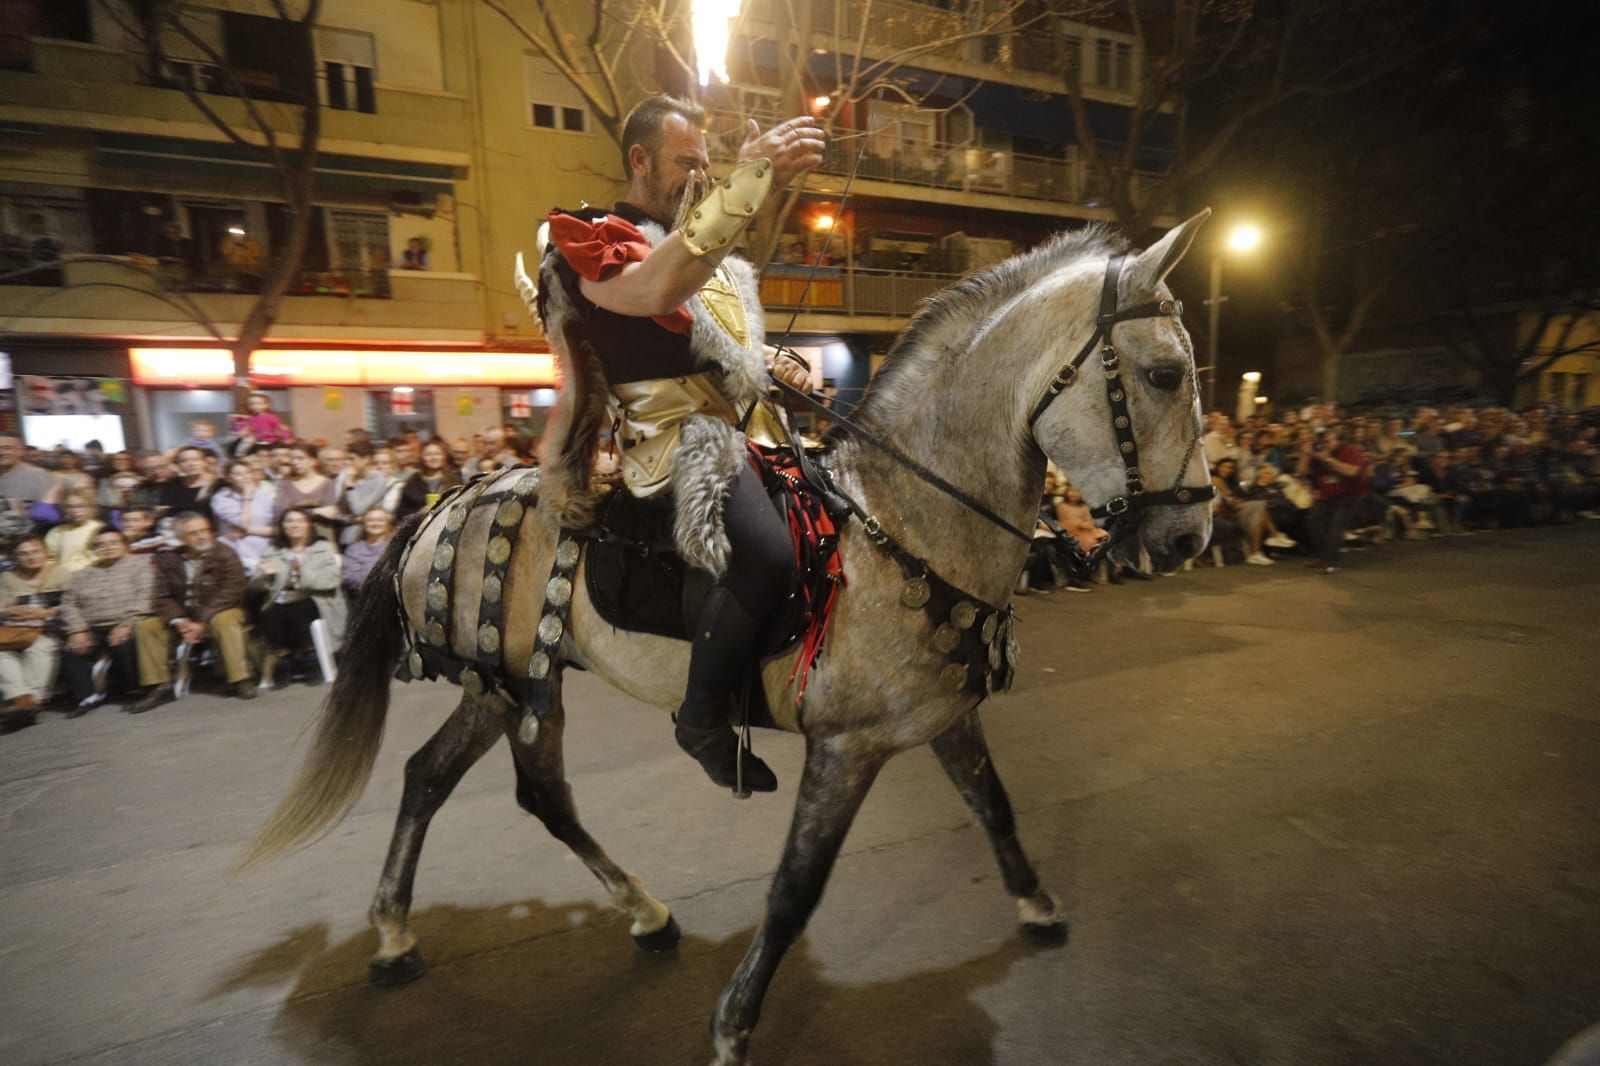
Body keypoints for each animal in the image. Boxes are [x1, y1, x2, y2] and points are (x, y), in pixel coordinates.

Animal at [240, 211, 1209, 1056]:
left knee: (445, 779)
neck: (904, 522)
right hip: (516, 683)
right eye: (1165, 374)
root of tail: (443, 501)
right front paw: (736, 1022)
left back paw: (452, 928)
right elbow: (794, 890)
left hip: (506, 685)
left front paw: (1038, 905)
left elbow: (994, 806)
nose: (1189, 535)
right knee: (524, 790)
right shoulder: (847, 747)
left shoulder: (942, 717)